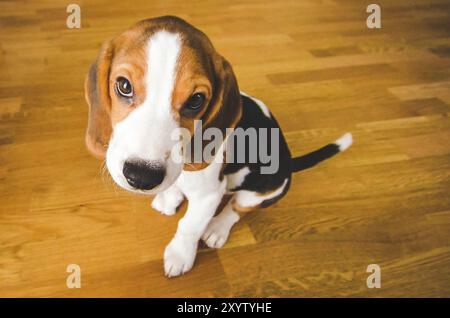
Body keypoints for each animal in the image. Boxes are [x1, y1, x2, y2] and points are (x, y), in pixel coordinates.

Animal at [85, 16, 352, 278]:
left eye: (196, 100)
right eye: (124, 85)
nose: (141, 176)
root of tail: (289, 161)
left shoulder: (210, 195)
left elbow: (189, 226)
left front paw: (180, 256)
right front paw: (170, 197)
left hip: (260, 193)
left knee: (237, 208)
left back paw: (217, 228)